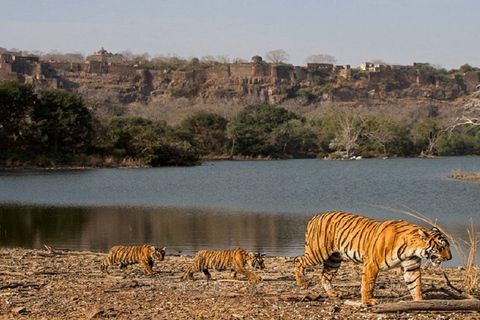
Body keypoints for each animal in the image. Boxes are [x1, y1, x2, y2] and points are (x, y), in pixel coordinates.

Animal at [294, 212, 452, 304]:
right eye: (441, 246)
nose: (450, 258)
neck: (412, 250)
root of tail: (314, 217)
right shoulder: (372, 263)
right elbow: (368, 283)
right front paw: (368, 300)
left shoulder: (411, 267)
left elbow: (416, 285)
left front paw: (419, 301)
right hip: (317, 252)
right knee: (297, 260)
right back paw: (302, 284)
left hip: (334, 259)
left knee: (325, 276)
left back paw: (333, 293)